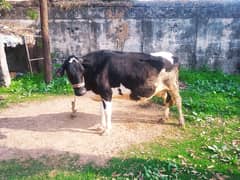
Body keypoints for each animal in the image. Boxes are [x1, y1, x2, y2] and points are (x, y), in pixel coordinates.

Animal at [57, 50, 185, 134]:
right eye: (68, 72)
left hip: (173, 85)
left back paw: (181, 122)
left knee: (178, 101)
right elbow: (101, 111)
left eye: (82, 70)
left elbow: (107, 112)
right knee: (167, 100)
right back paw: (164, 118)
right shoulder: (101, 94)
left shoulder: (107, 93)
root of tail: (173, 55)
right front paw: (101, 127)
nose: (80, 91)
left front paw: (107, 130)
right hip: (164, 88)